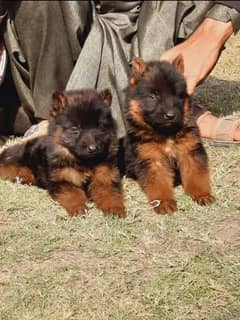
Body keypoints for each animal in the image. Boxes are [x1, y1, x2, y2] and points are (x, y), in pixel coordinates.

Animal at [0, 87, 125, 218]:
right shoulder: (64, 179)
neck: (84, 161)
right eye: (75, 129)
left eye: (100, 127)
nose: (93, 148)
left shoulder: (106, 176)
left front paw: (114, 208)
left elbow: (110, 193)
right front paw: (78, 208)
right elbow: (73, 194)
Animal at [124, 56, 215, 214]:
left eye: (177, 95)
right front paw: (164, 202)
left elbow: (196, 175)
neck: (166, 133)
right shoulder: (153, 160)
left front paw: (202, 194)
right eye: (153, 96)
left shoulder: (190, 152)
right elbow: (159, 183)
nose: (170, 115)